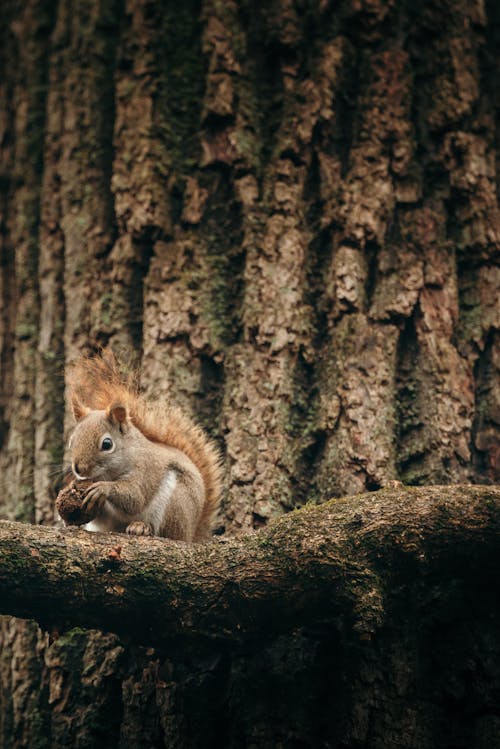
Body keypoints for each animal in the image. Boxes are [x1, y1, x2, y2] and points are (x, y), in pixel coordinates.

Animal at [65, 348, 222, 540]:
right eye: (72, 440)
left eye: (107, 444)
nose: (79, 469)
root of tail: (191, 534)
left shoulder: (146, 470)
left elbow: (135, 497)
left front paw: (103, 489)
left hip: (176, 503)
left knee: (166, 533)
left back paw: (142, 527)